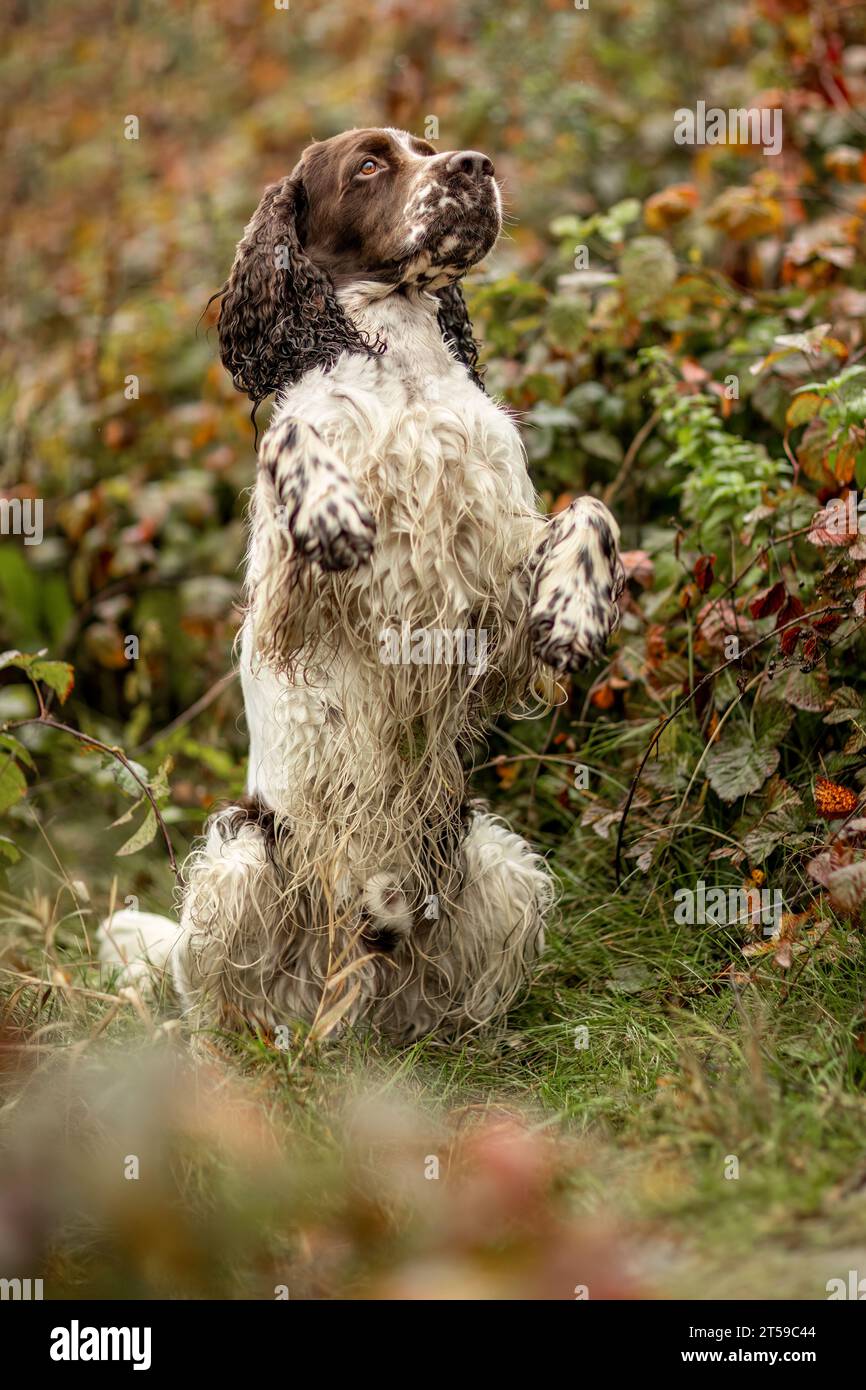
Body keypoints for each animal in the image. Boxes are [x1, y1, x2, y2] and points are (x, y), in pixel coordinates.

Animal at [100, 132, 622, 1045]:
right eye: (371, 166)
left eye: (428, 146)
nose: (474, 166)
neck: (405, 369)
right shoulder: (289, 600)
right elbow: (292, 442)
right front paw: (332, 504)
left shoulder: (486, 597)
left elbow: (587, 510)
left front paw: (574, 610)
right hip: (243, 858)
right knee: (216, 1007)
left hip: (494, 863)